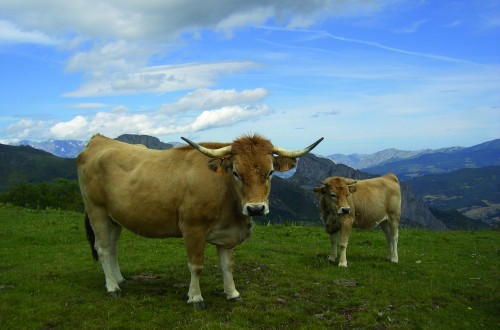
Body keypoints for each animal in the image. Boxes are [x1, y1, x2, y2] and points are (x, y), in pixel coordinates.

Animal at [76, 133, 322, 306]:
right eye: (236, 172)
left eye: (270, 172)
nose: (255, 208)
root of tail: (98, 140)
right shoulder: (193, 228)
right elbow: (196, 266)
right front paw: (195, 298)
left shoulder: (227, 235)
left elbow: (227, 265)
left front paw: (232, 293)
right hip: (97, 211)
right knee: (103, 248)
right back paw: (112, 288)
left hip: (114, 217)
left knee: (113, 247)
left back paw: (119, 280)